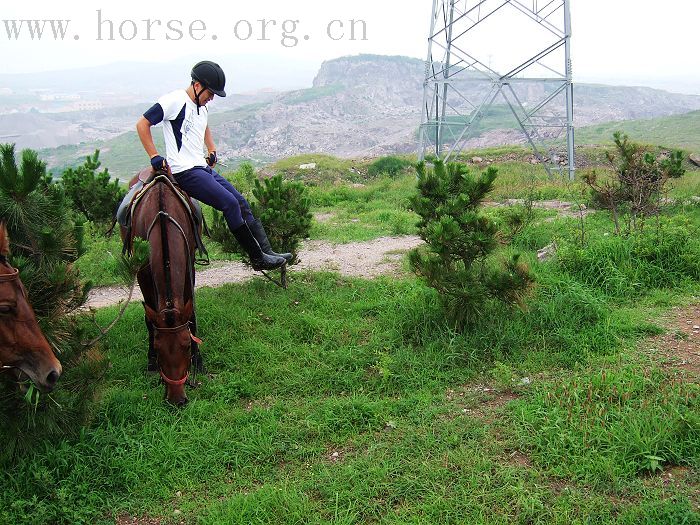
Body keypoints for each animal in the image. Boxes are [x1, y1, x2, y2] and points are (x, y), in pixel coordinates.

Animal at [122, 170, 200, 408]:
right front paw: (151, 363)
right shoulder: (142, 276)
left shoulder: (188, 268)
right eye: (158, 348)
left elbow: (191, 313)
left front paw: (199, 359)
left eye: (186, 346)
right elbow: (149, 319)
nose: (177, 399)